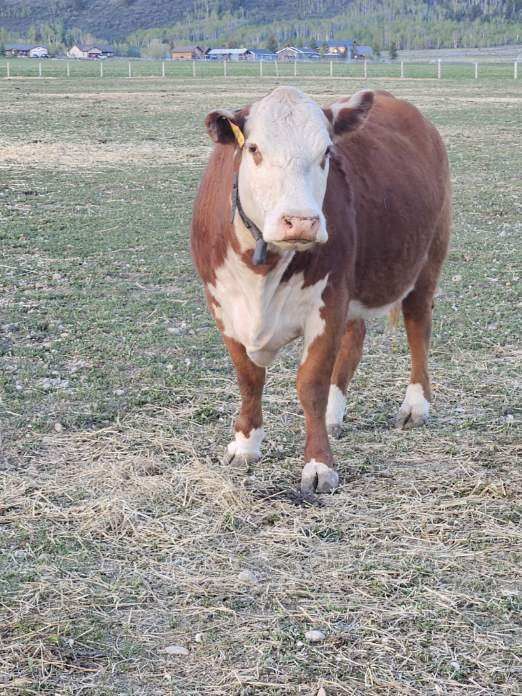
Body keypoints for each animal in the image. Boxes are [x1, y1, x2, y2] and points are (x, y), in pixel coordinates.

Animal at [191, 86, 451, 494]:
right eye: (254, 148)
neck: (261, 267)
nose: (301, 221)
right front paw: (245, 444)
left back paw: (415, 406)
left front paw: (318, 465)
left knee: (417, 328)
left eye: (326, 152)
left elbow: (311, 383)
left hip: (427, 260)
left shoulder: (326, 303)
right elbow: (249, 378)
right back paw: (334, 413)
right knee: (354, 339)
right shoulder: (222, 304)